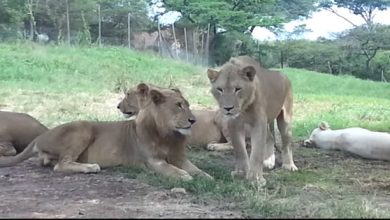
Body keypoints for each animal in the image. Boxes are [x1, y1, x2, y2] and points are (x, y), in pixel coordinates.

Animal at [0, 83, 213, 181]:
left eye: (188, 105)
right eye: (178, 106)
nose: (193, 120)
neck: (168, 134)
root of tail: (40, 136)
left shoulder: (180, 158)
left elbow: (197, 169)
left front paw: (207, 177)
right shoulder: (153, 161)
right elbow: (172, 169)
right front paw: (184, 176)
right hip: (82, 128)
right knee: (61, 165)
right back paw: (90, 167)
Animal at [206, 55, 298, 186]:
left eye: (237, 89)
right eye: (220, 89)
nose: (228, 108)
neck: (244, 109)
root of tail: (284, 75)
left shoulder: (258, 123)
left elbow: (257, 153)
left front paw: (256, 179)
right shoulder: (233, 124)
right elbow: (240, 149)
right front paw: (241, 172)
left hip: (285, 119)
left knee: (287, 142)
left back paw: (289, 165)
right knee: (270, 137)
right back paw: (268, 161)